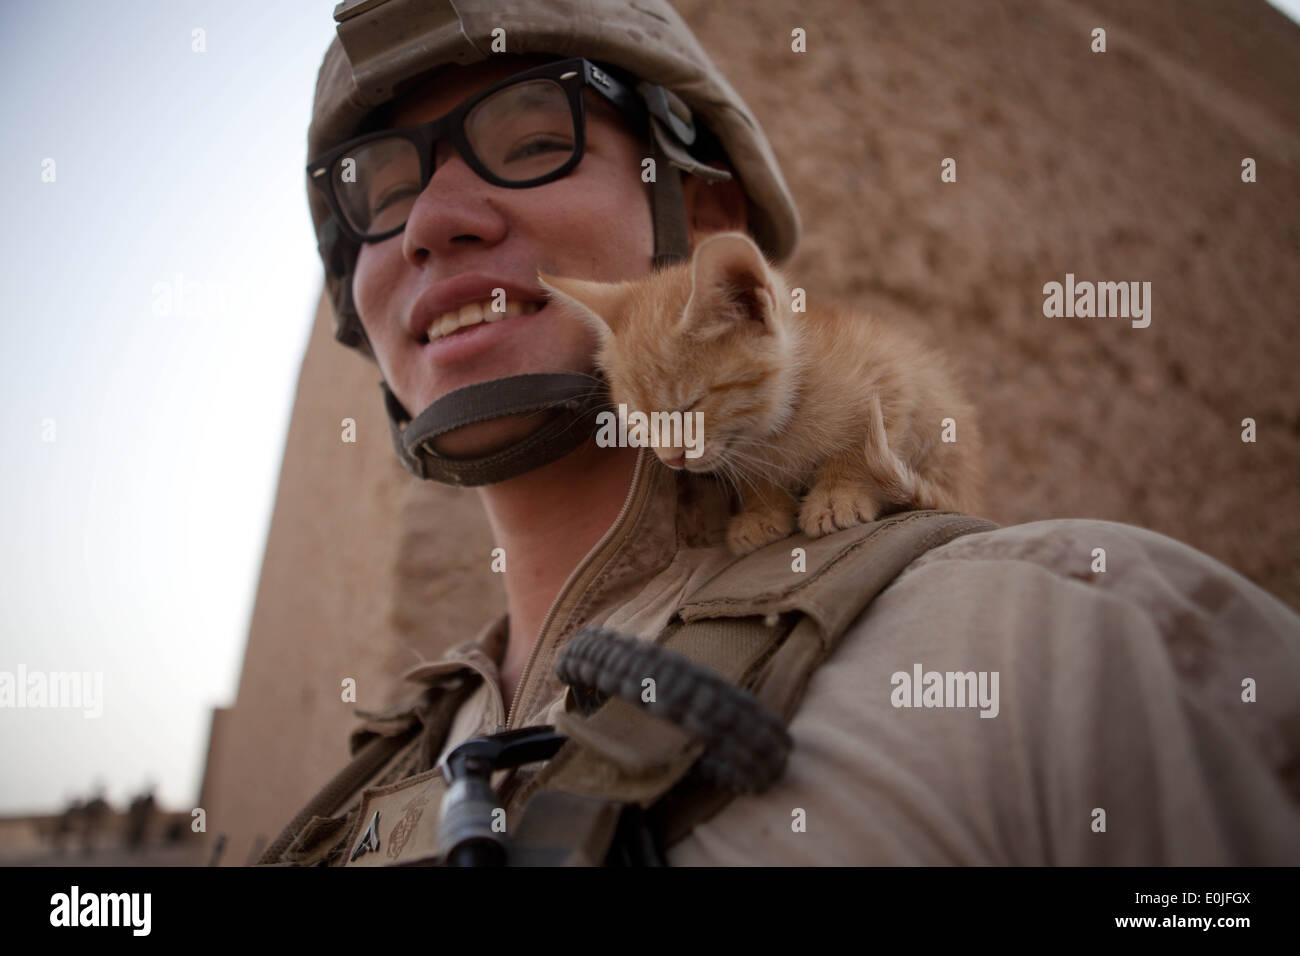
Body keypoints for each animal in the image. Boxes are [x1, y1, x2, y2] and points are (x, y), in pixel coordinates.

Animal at [533, 231, 977, 556]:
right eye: (638, 421)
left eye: (691, 406)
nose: (671, 459)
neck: (778, 428)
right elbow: (756, 479)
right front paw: (763, 511)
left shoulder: (892, 371)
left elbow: (860, 447)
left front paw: (839, 494)